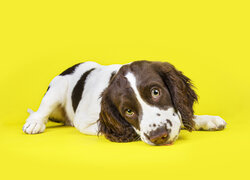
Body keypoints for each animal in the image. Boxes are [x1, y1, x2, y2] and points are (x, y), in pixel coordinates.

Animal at [23, 61, 227, 146]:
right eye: (128, 111)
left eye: (156, 92)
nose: (158, 136)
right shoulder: (85, 122)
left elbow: (182, 117)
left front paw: (206, 120)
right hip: (57, 88)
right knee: (42, 110)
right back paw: (35, 122)